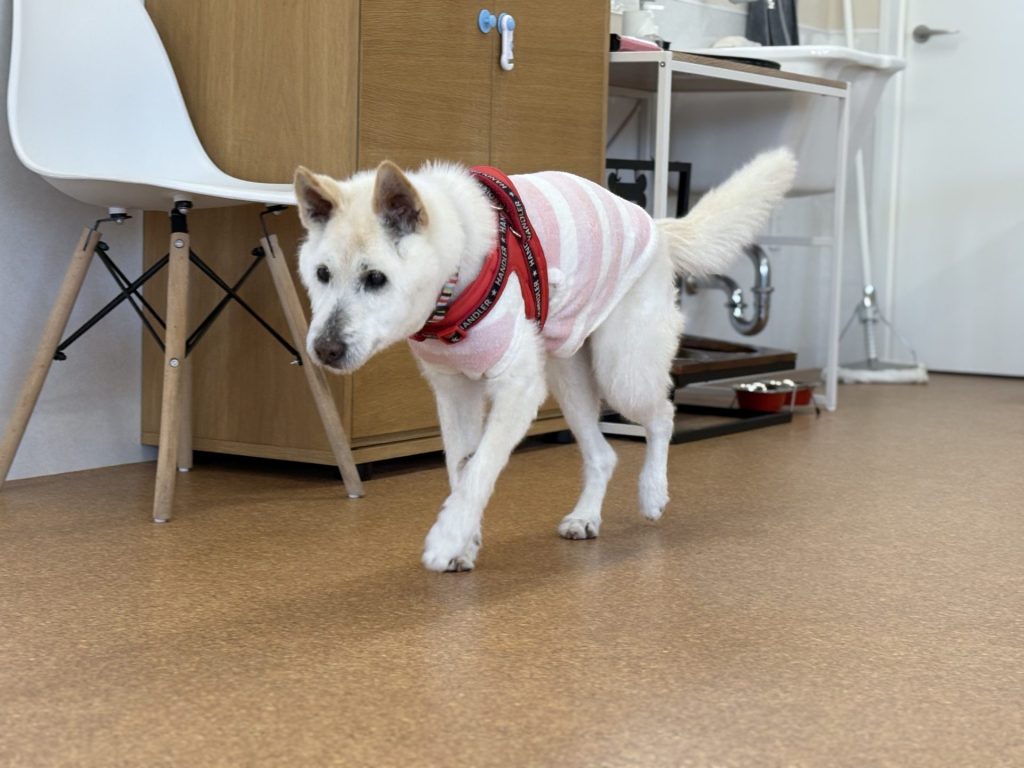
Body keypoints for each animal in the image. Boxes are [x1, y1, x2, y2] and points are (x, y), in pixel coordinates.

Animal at [293, 148, 796, 571]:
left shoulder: (517, 389)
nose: (324, 349)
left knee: (663, 416)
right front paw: (464, 541)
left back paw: (653, 491)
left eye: (376, 279)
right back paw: (586, 516)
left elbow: (480, 469)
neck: (455, 278)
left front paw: (447, 538)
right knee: (603, 455)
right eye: (321, 274)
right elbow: (460, 469)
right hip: (568, 376)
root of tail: (656, 224)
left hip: (622, 371)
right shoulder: (454, 395)